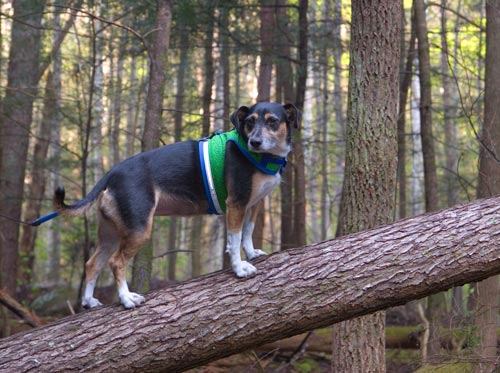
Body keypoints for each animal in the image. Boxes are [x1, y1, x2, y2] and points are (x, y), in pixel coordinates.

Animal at [53, 101, 298, 308]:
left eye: (272, 121)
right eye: (250, 122)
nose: (254, 142)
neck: (262, 156)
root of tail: (112, 174)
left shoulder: (253, 205)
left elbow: (247, 234)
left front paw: (252, 253)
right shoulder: (236, 204)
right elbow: (234, 240)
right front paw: (239, 269)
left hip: (111, 233)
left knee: (92, 264)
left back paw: (89, 301)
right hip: (139, 230)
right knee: (115, 262)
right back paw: (126, 298)